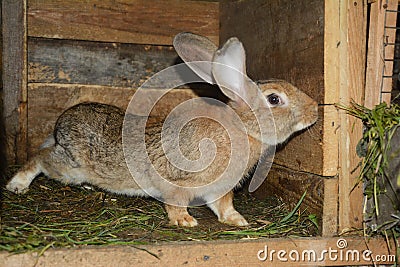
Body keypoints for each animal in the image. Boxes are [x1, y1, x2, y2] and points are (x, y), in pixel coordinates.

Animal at [5, 32, 318, 227]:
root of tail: (62, 122)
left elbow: (223, 206)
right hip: (69, 164)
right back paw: (17, 185)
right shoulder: (179, 182)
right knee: (39, 158)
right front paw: (185, 221)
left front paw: (237, 221)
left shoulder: (220, 190)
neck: (242, 128)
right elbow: (175, 202)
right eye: (274, 99)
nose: (315, 109)